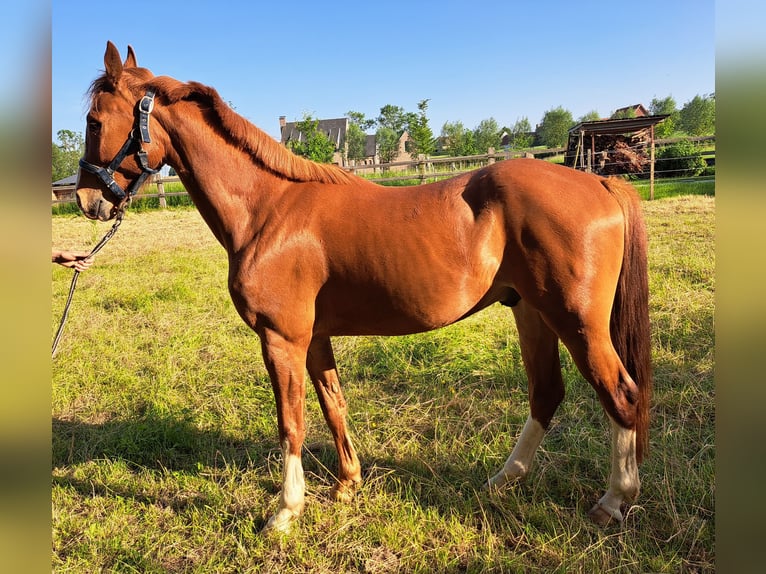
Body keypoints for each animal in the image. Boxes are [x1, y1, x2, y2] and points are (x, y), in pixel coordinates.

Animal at [76, 42, 652, 533]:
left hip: (576, 322)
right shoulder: (313, 339)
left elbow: (291, 422)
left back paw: (613, 501)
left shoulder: (281, 340)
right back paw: (502, 479)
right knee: (546, 394)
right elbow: (333, 405)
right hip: (531, 313)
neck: (269, 209)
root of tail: (600, 182)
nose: (85, 199)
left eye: (95, 120)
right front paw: (347, 485)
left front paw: (285, 512)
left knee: (621, 394)